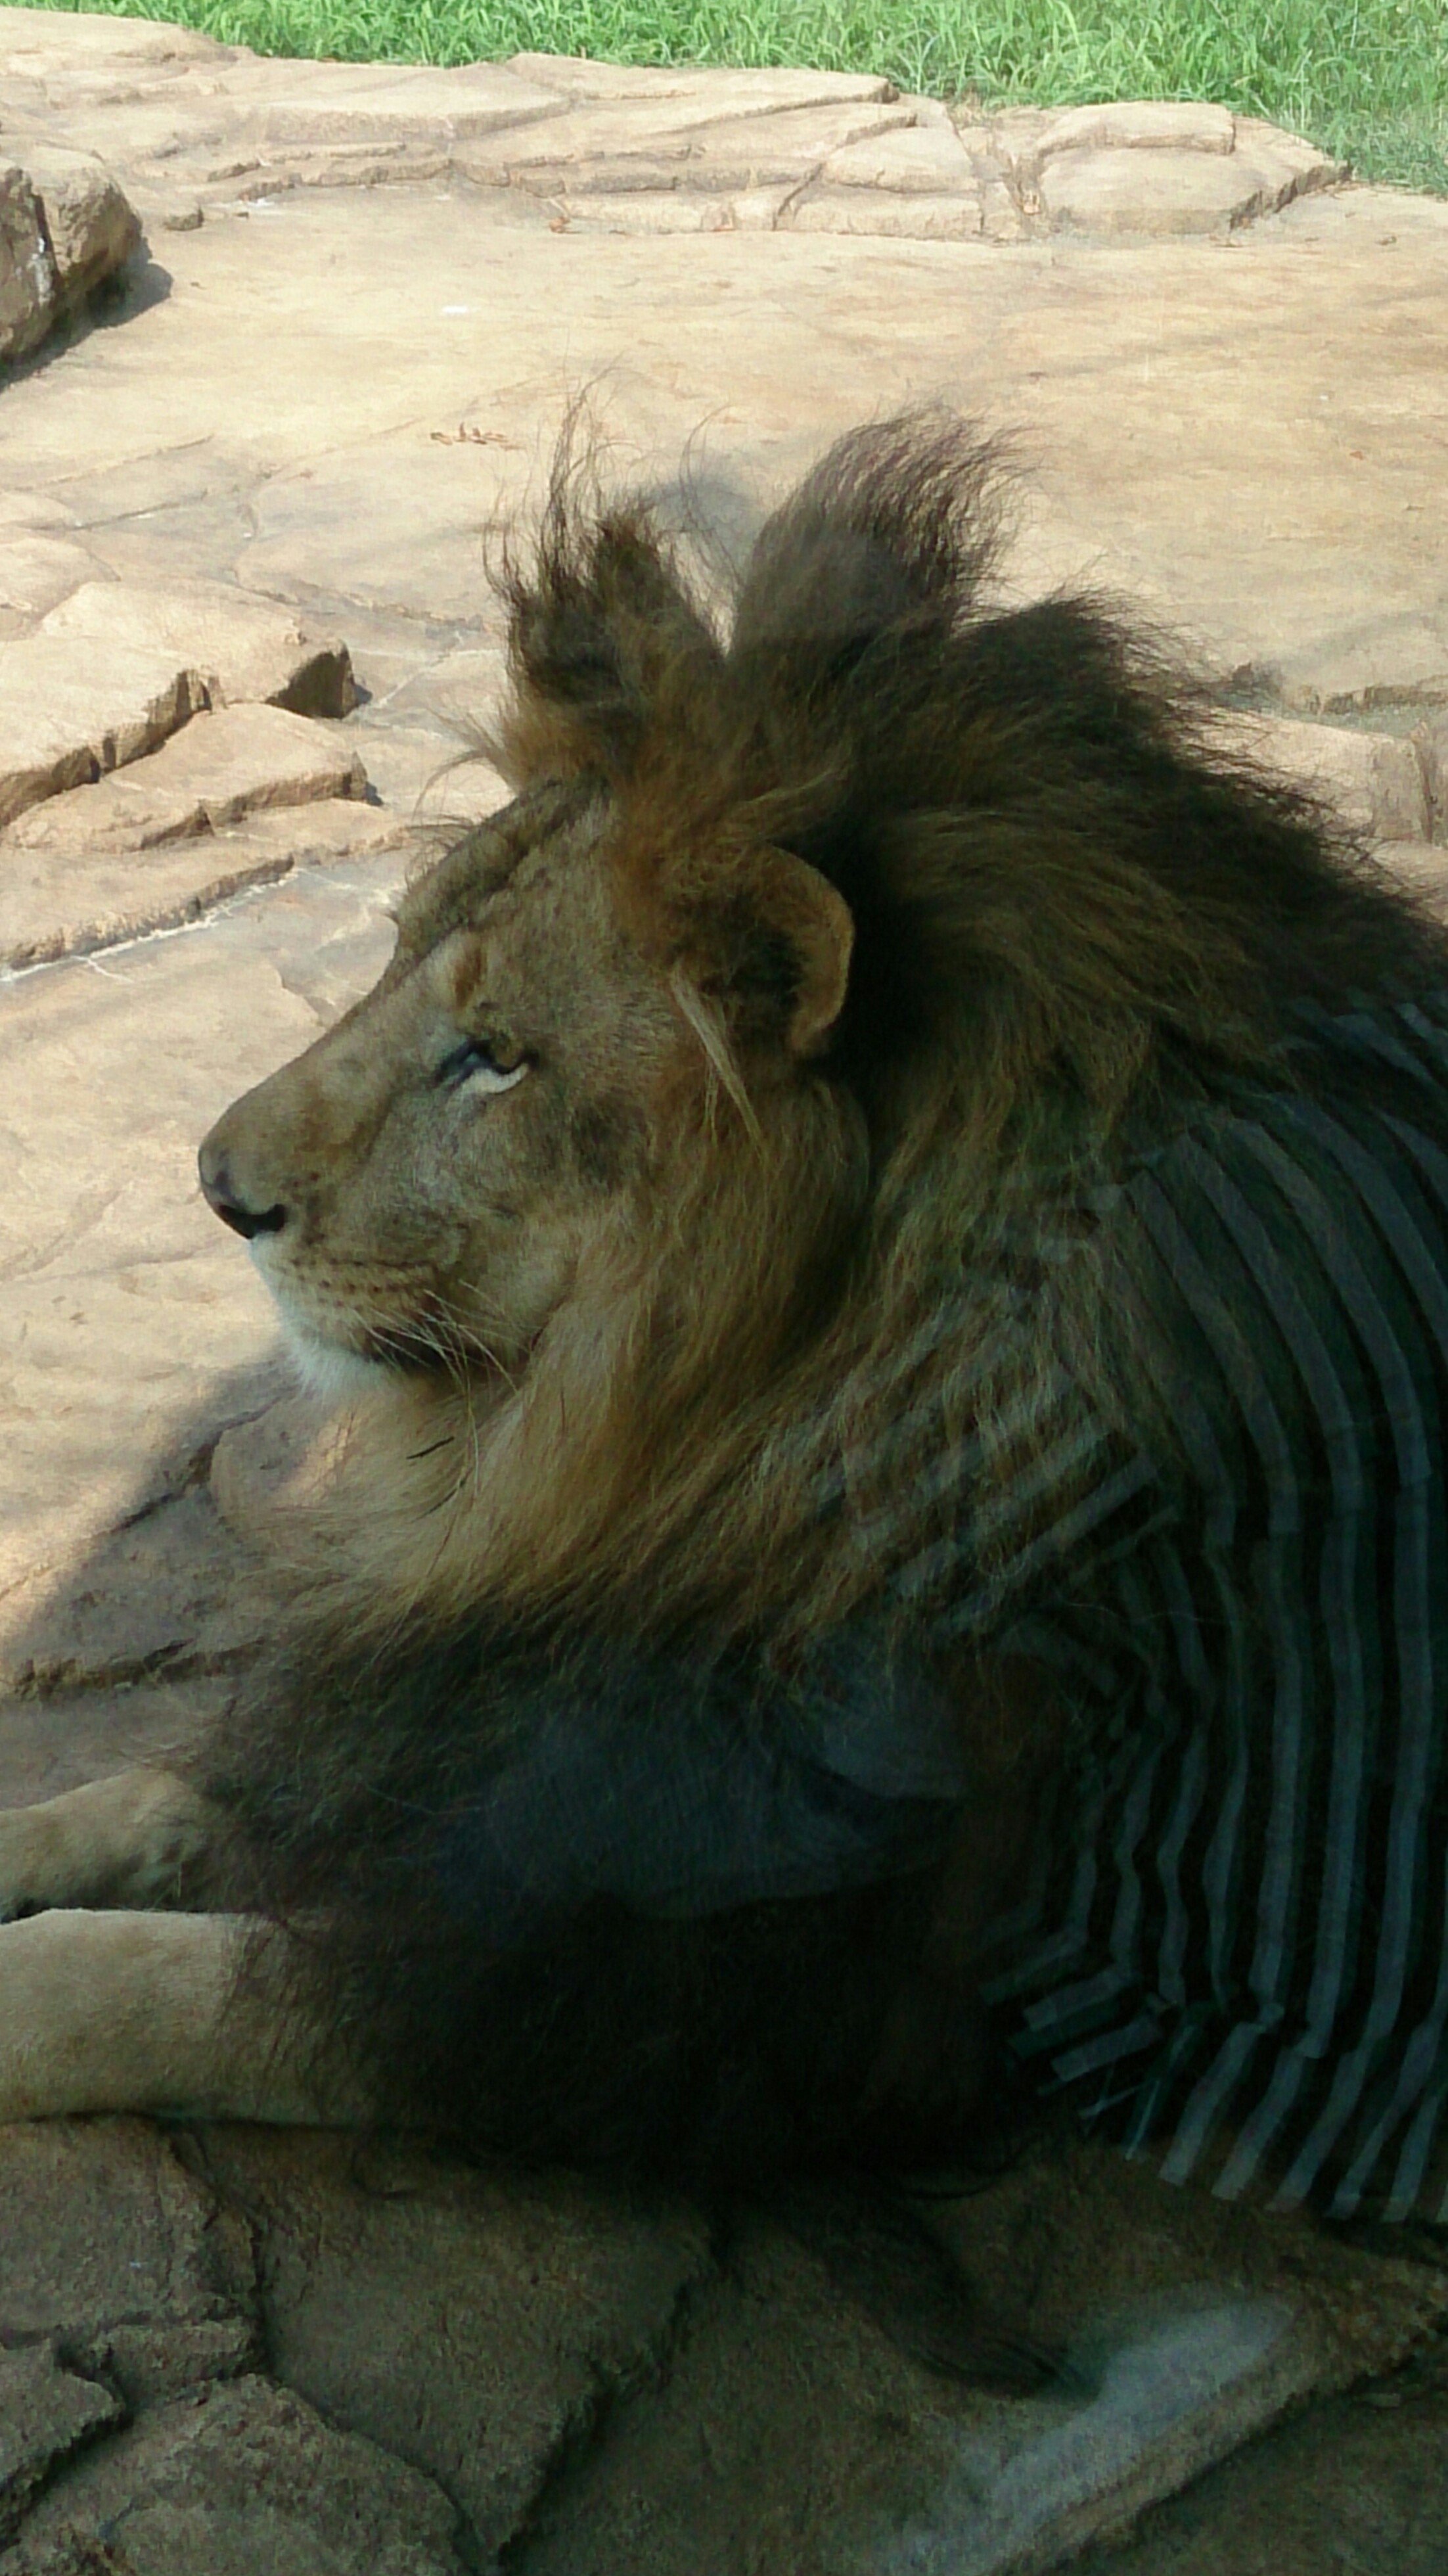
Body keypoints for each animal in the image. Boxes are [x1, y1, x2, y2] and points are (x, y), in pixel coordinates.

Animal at [3, 417, 1443, 2370]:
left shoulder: (705, 1987)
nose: (215, 1189)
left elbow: (164, 1985)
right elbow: (160, 1800)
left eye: (496, 1059)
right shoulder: (499, 1700)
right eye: (389, 954)